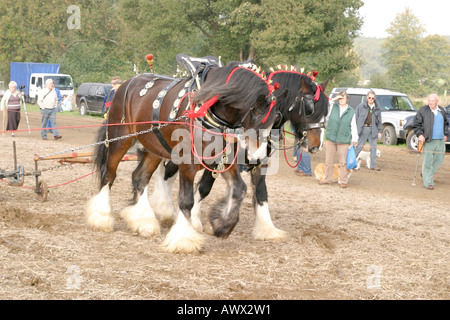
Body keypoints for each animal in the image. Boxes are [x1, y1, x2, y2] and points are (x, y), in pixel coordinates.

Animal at [86, 63, 284, 252]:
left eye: (275, 123)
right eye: (258, 120)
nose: (258, 158)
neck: (208, 110)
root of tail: (125, 85)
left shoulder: (222, 161)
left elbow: (239, 189)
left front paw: (221, 225)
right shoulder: (187, 163)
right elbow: (187, 200)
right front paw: (184, 239)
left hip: (154, 149)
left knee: (140, 177)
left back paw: (145, 221)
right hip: (120, 139)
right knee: (109, 175)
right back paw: (101, 218)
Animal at [149, 70, 328, 240]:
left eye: (326, 111)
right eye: (310, 109)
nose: (315, 146)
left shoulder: (259, 163)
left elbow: (261, 192)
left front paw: (267, 228)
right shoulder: (217, 162)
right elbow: (204, 187)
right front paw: (195, 221)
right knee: (167, 173)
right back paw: (163, 208)